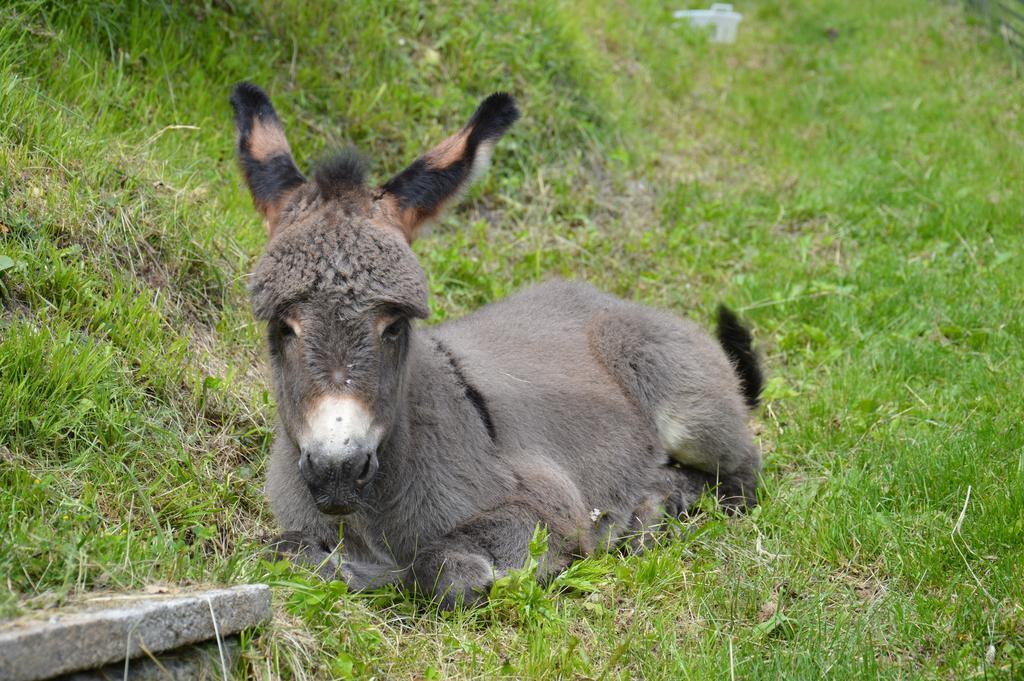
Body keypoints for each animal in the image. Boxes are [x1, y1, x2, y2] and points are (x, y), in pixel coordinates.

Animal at [230, 82, 761, 606]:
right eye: (283, 327)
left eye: (394, 326)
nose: (338, 469)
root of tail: (611, 300)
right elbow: (281, 551)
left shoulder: (547, 501)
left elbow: (437, 569)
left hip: (690, 411)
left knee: (742, 477)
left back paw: (653, 509)